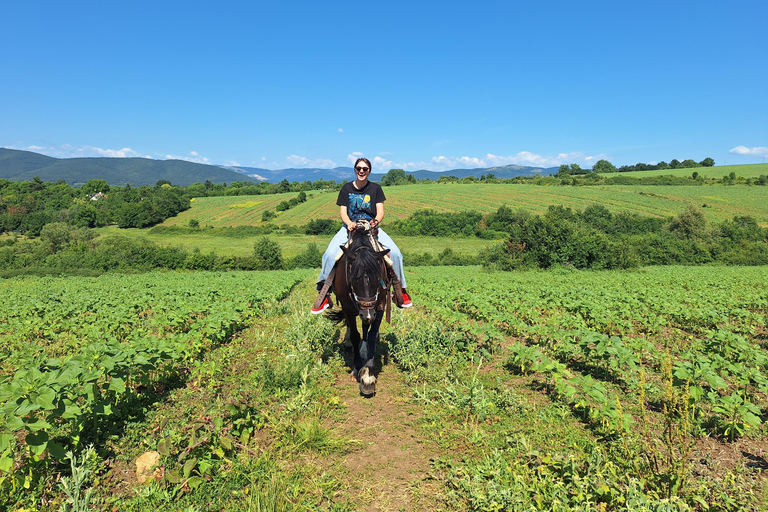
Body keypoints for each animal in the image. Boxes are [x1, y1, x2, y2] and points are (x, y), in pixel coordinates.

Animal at [326, 221, 390, 396]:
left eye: (378, 278)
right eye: (354, 278)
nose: (368, 313)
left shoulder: (379, 306)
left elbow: (372, 335)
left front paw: (368, 376)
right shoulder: (348, 308)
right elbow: (355, 335)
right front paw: (357, 368)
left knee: (365, 327)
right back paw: (349, 345)